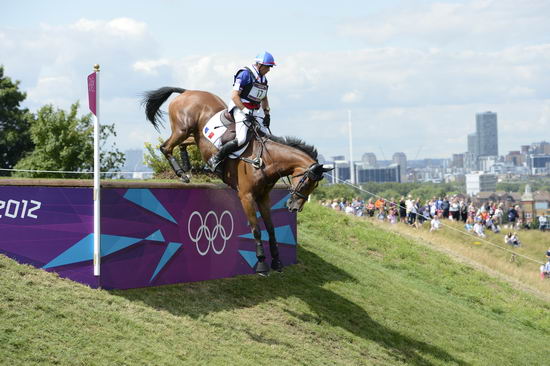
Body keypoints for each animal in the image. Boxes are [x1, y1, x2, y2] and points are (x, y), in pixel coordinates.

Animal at [142, 86, 332, 274]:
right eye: (306, 182)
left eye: (314, 187)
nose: (294, 208)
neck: (265, 160)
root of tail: (188, 92)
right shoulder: (246, 196)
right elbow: (256, 229)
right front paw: (261, 262)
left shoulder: (263, 198)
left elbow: (271, 229)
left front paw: (277, 261)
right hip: (183, 128)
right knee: (166, 147)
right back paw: (182, 173)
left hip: (195, 134)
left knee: (184, 143)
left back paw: (189, 167)